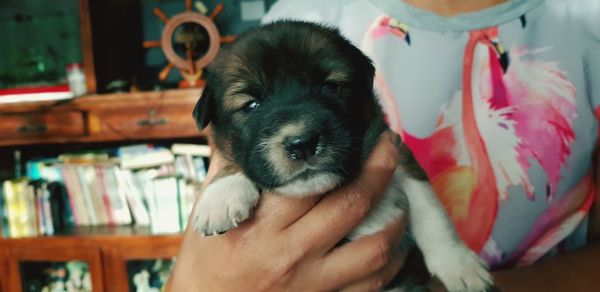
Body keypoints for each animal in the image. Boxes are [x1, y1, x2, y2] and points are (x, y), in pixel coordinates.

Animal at [192, 21, 492, 292]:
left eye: (330, 87)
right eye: (251, 105)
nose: (302, 143)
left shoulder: (397, 154)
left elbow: (432, 214)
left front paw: (460, 265)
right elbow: (228, 159)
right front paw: (221, 197)